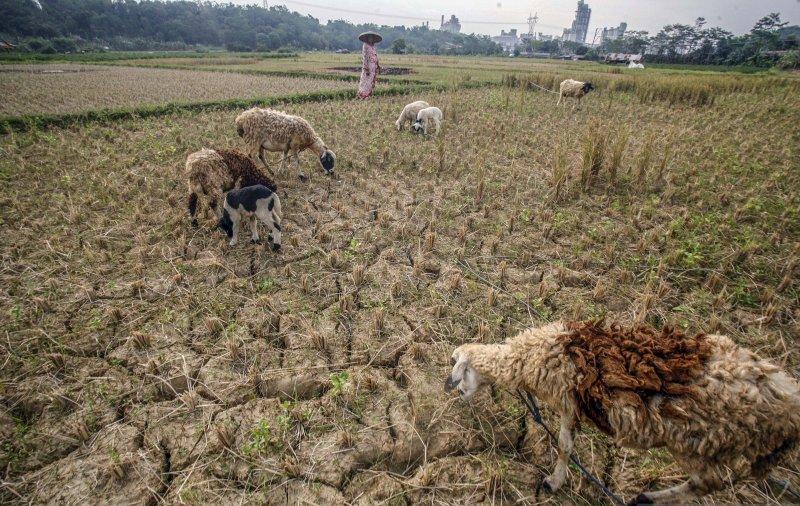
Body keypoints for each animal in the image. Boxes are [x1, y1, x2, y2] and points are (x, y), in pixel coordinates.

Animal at [444, 322, 800, 504]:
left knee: (707, 483)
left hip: (699, 440)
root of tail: (784, 398)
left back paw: (647, 499)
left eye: (458, 367)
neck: (529, 355)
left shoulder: (568, 401)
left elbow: (565, 446)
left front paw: (553, 482)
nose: (453, 391)